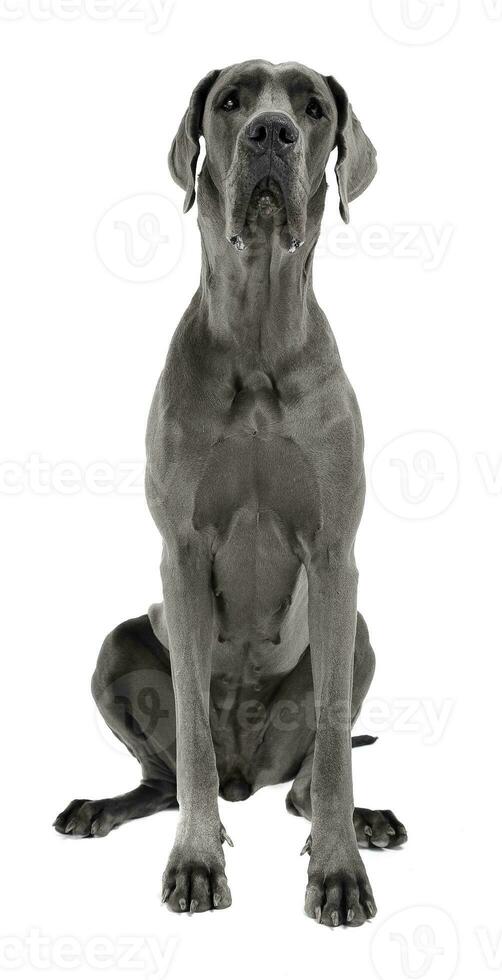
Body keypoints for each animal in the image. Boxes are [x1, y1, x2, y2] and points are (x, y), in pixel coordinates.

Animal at [56, 59, 408, 928]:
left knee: (307, 781)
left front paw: (338, 872)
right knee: (170, 777)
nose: (271, 133)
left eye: (313, 109)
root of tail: (254, 767)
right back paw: (105, 808)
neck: (256, 337)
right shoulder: (179, 554)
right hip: (116, 642)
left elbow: (333, 746)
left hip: (357, 633)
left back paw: (361, 821)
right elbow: (190, 738)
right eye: (230, 101)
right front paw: (195, 861)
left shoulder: (335, 554)